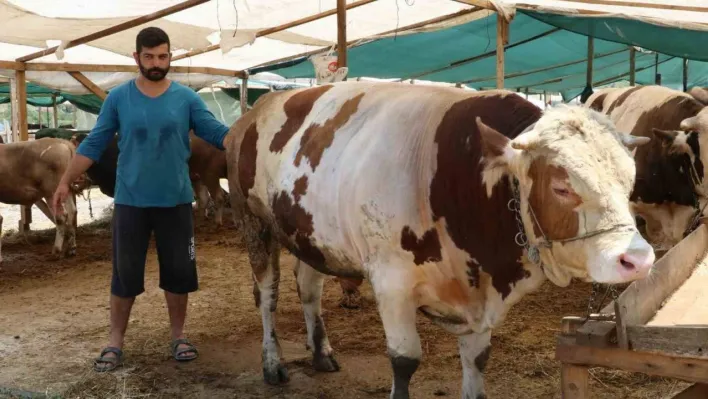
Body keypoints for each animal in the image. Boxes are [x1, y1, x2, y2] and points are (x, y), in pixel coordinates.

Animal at [224, 82, 656, 399]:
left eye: (631, 179)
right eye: (561, 186)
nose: (638, 260)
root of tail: (254, 111)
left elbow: (477, 362)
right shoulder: (392, 283)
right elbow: (404, 361)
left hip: (309, 235)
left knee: (308, 287)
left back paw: (321, 352)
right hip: (253, 222)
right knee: (268, 296)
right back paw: (273, 362)